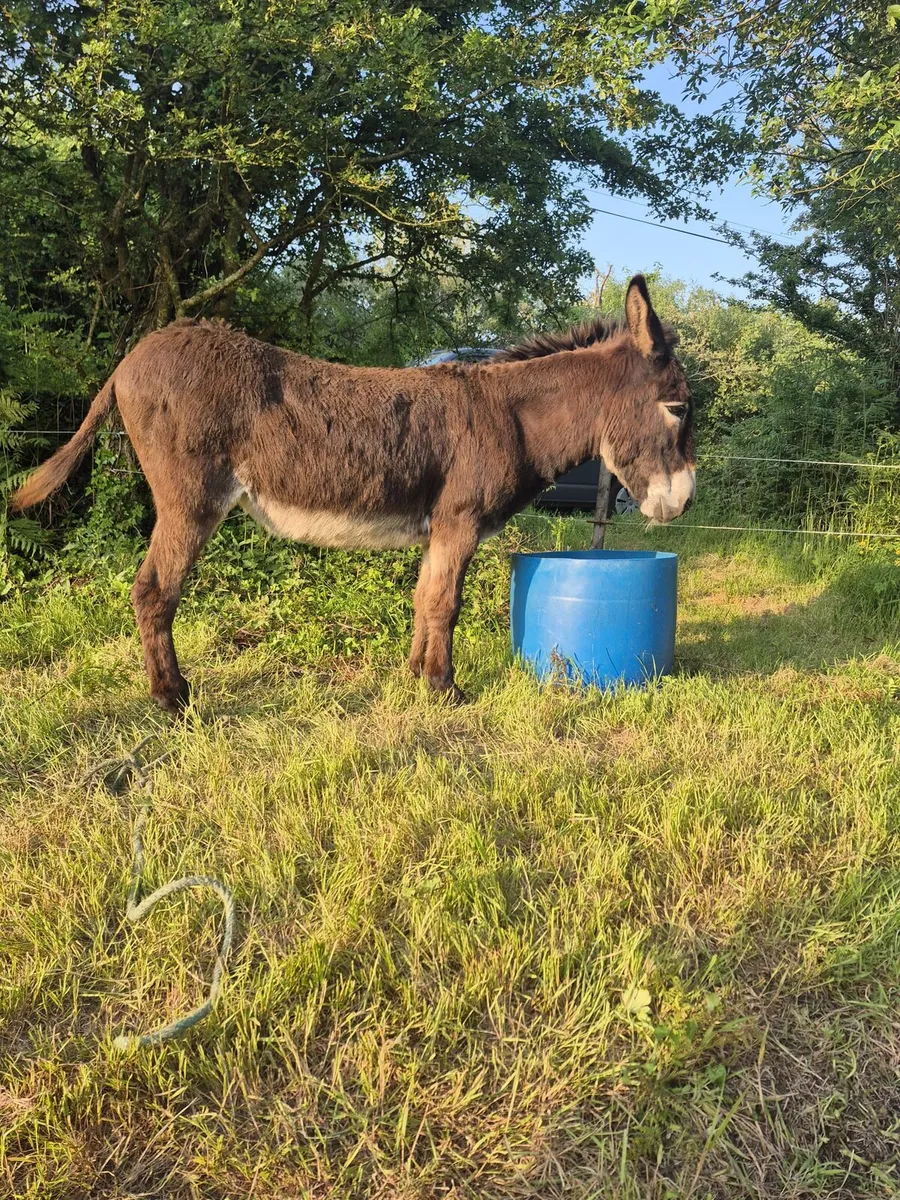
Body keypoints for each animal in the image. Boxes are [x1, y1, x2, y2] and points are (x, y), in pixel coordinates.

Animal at [12, 275, 694, 709]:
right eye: (678, 408)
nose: (683, 503)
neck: (514, 418)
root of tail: (130, 360)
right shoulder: (460, 521)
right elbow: (446, 604)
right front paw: (447, 692)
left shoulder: (439, 528)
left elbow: (423, 600)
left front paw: (417, 678)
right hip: (191, 501)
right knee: (155, 590)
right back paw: (172, 699)